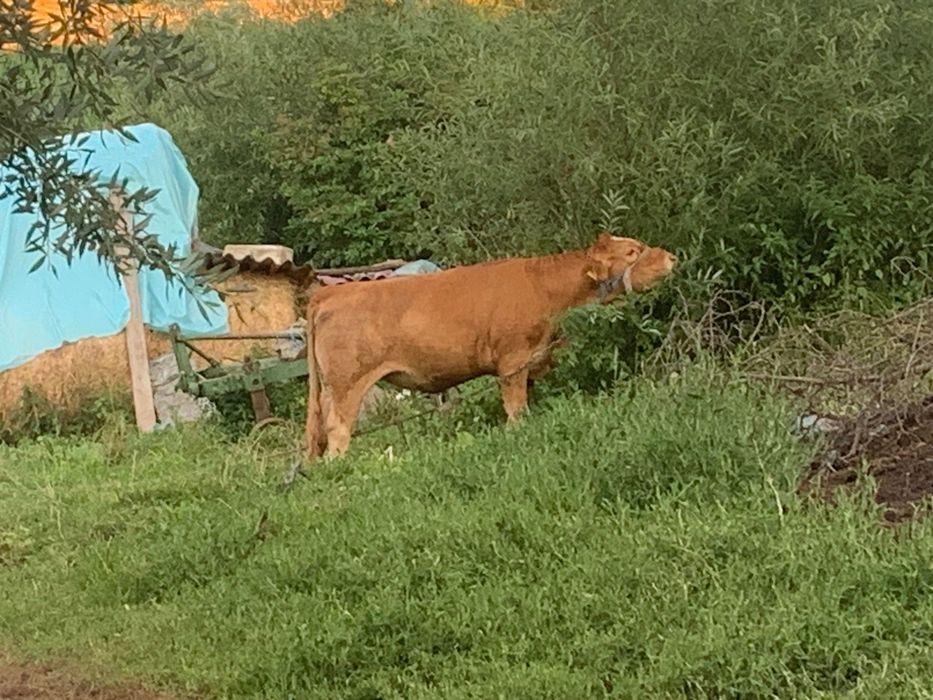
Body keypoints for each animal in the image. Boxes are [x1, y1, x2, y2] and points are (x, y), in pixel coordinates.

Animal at [304, 234, 677, 460]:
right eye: (632, 252)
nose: (673, 257)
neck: (545, 290)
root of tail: (332, 293)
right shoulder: (513, 361)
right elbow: (516, 408)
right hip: (347, 384)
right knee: (338, 428)